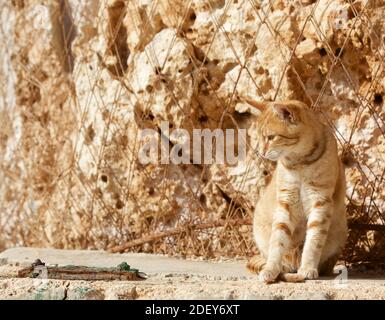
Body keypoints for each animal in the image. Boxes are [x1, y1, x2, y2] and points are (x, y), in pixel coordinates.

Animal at [246, 100, 348, 282]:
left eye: (271, 137)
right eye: (258, 138)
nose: (261, 153)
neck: (300, 162)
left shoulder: (320, 201)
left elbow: (313, 240)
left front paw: (307, 267)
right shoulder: (286, 202)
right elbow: (277, 240)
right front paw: (271, 268)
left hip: (340, 230)